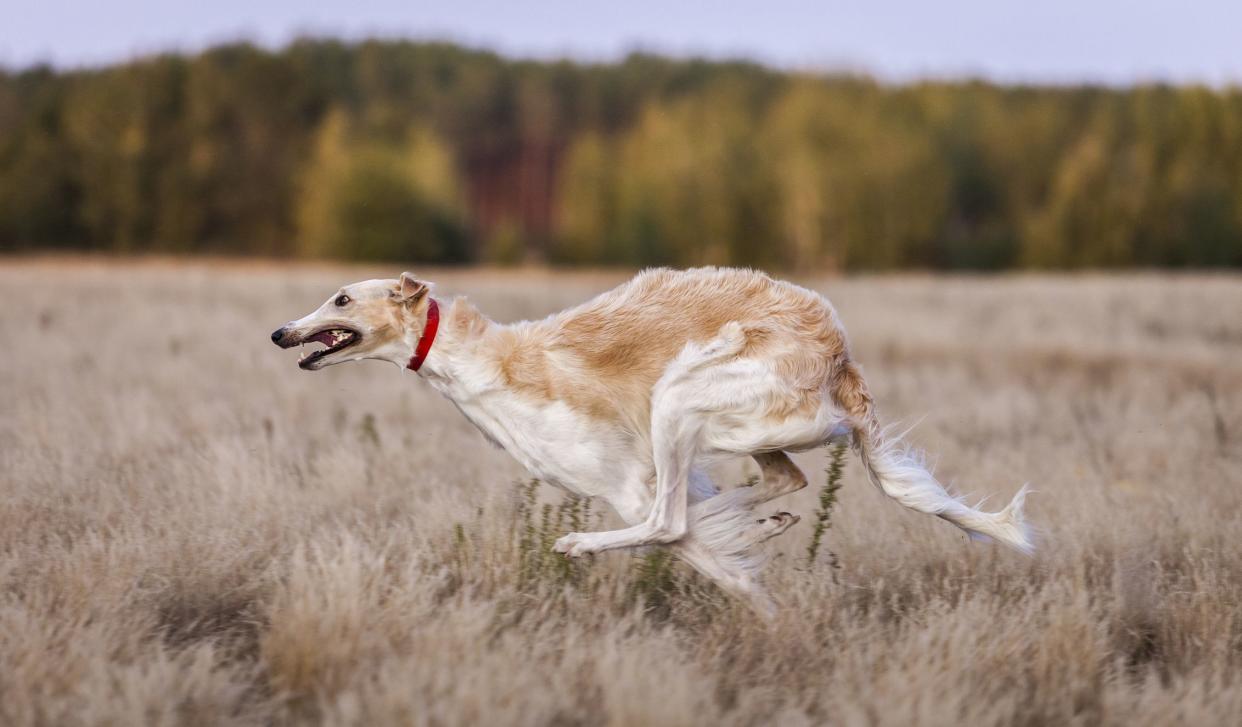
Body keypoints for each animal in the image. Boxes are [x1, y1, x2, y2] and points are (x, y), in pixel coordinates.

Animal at [274, 268, 1038, 611]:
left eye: (341, 298)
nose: (281, 333)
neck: (486, 364)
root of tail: (840, 361)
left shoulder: (624, 483)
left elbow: (682, 536)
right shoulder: (648, 479)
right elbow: (712, 539)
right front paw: (758, 567)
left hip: (684, 395)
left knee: (676, 518)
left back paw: (579, 544)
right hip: (737, 423)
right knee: (780, 481)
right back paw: (766, 520)